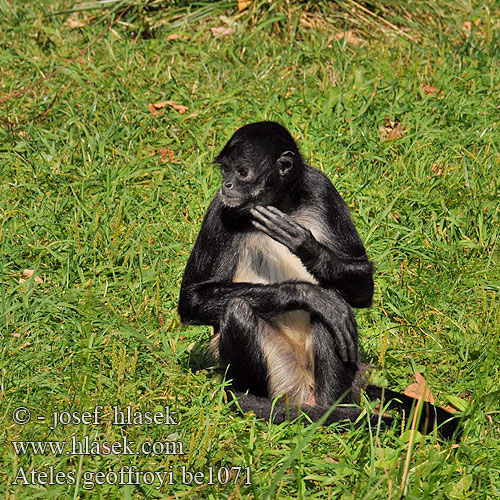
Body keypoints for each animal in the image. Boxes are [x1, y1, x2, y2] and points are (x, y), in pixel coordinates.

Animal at [179, 120, 460, 438]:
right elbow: (191, 300)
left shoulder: (320, 187)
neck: (283, 205)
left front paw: (306, 246)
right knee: (247, 309)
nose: (226, 185)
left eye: (242, 172)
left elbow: (363, 285)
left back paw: (331, 410)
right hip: (283, 378)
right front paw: (307, 294)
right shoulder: (221, 207)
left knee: (336, 313)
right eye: (225, 171)